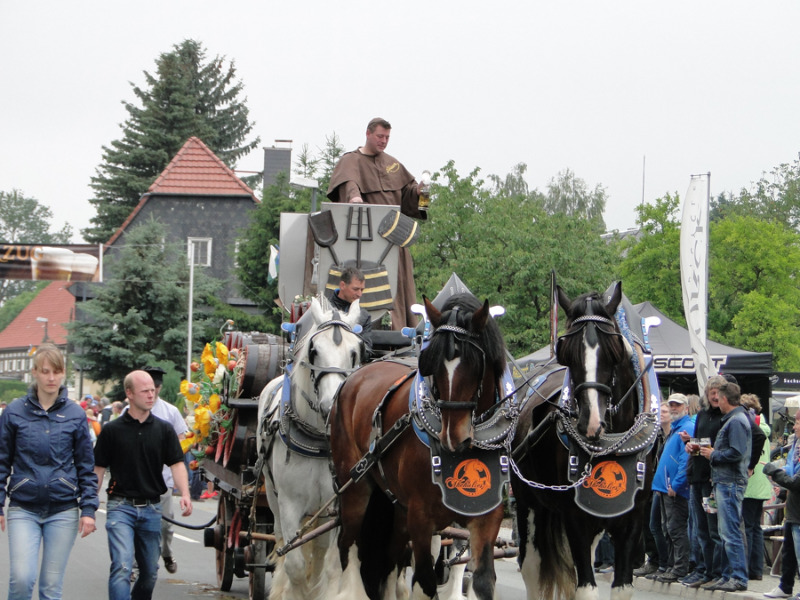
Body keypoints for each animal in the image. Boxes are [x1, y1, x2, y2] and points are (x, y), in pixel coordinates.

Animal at [258, 298, 364, 600]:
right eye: (314, 350)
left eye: (355, 352)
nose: (331, 405)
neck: (318, 439)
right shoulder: (290, 503)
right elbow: (294, 563)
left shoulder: (336, 505)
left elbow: (329, 566)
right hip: (273, 497)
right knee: (282, 542)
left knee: (318, 551)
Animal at [330, 294, 512, 600]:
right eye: (432, 366)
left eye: (476, 364)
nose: (452, 437)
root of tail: (355, 377)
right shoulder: (421, 518)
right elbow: (425, 582)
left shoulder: (486, 516)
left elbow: (483, 581)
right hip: (355, 488)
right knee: (348, 545)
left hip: (398, 506)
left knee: (391, 556)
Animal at [510, 284, 660, 600]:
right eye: (566, 352)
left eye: (614, 350)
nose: (590, 422)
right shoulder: (575, 519)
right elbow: (586, 589)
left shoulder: (631, 519)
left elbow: (622, 587)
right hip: (529, 503)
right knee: (531, 569)